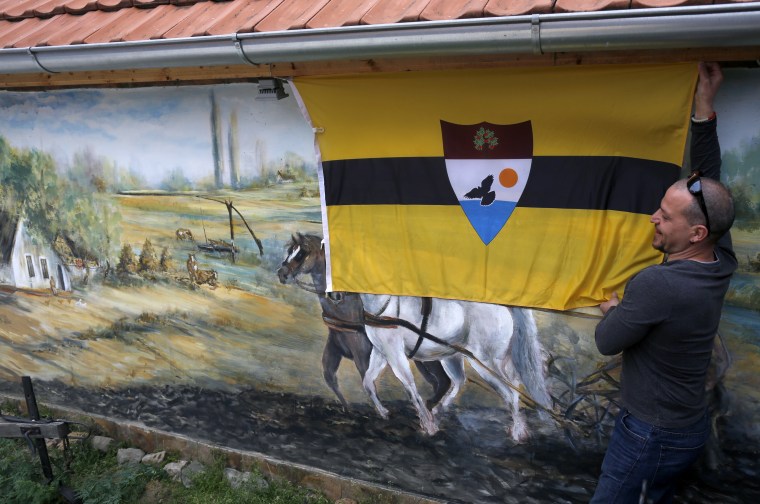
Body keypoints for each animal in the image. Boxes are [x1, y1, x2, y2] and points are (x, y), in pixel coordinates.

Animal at [276, 234, 448, 412]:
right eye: (290, 251)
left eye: (301, 253)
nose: (281, 274)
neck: (346, 310)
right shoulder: (335, 348)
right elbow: (330, 377)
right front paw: (348, 409)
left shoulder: (363, 353)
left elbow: (368, 381)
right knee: (439, 382)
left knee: (442, 381)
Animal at [360, 296, 548, 440]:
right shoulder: (381, 351)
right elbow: (368, 382)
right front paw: (384, 412)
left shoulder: (394, 352)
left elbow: (410, 387)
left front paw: (428, 426)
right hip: (457, 356)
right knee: (469, 382)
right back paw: (438, 410)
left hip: (485, 361)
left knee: (508, 393)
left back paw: (517, 432)